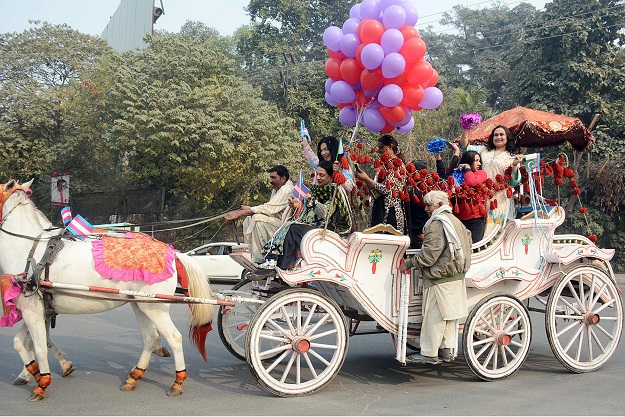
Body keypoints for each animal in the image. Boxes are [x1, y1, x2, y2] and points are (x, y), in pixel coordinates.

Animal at [0, 180, 214, 400]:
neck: (28, 248)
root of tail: (171, 251)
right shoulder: (40, 310)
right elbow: (22, 342)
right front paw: (33, 371)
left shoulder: (32, 310)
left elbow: (39, 346)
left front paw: (41, 383)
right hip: (142, 305)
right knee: (151, 337)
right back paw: (134, 377)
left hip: (154, 308)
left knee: (174, 338)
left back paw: (177, 381)